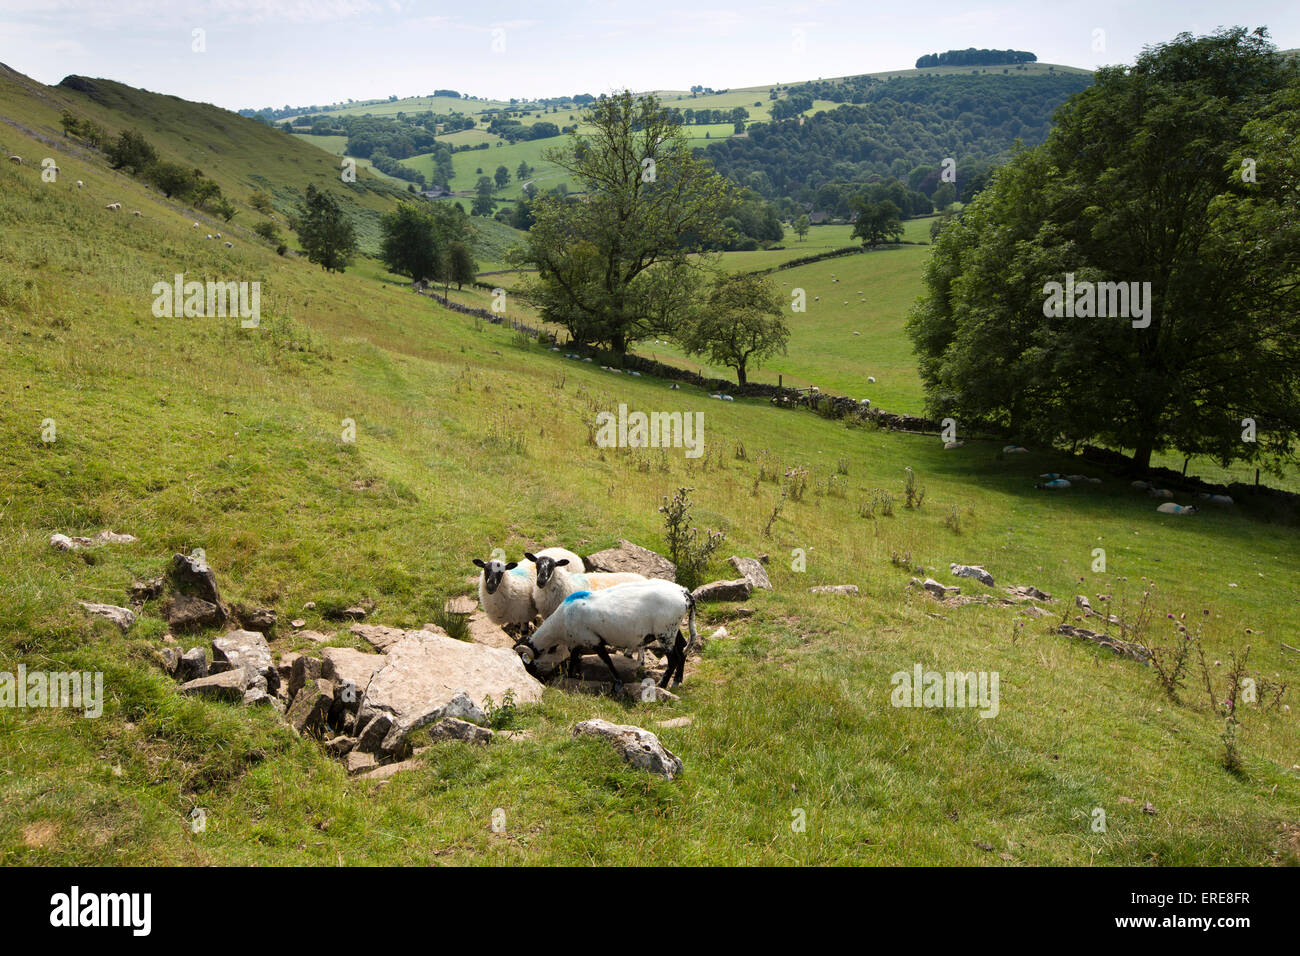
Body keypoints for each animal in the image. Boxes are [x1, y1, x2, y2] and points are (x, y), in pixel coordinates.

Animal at [520, 574, 702, 686]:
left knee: (673, 659)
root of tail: (685, 593)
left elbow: (607, 660)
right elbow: (574, 659)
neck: (560, 622)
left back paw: (662, 685)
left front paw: (618, 682)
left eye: (526, 665)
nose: (535, 677)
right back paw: (678, 680)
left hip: (665, 632)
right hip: (672, 630)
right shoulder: (577, 642)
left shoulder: (593, 640)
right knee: (682, 651)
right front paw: (571, 676)